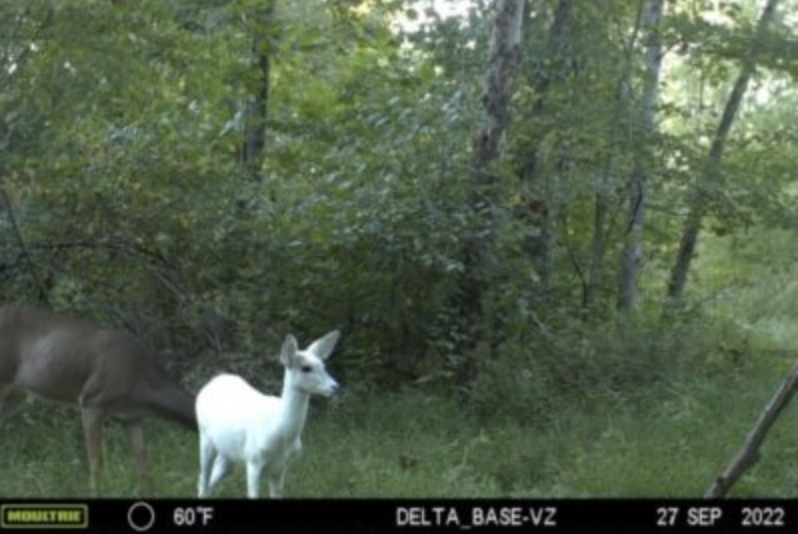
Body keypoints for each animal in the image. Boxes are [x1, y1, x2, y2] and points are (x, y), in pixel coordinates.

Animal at [196, 330, 340, 498]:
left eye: (324, 366)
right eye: (306, 368)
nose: (335, 387)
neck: (280, 430)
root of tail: (212, 382)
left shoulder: (280, 467)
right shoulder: (253, 460)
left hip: (228, 451)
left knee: (214, 475)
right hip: (204, 436)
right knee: (203, 478)